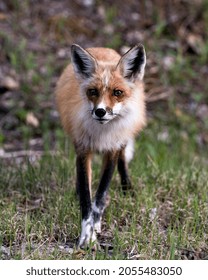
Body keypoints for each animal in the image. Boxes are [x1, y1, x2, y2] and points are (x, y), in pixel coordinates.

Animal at [55, 43, 146, 247]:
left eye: (117, 92)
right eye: (93, 92)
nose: (100, 111)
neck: (101, 134)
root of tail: (101, 48)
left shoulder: (111, 150)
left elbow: (100, 197)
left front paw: (94, 230)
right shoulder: (83, 150)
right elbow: (86, 199)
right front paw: (85, 236)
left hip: (122, 141)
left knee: (122, 162)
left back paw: (127, 188)